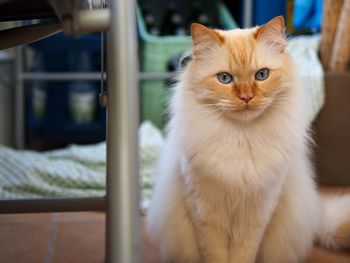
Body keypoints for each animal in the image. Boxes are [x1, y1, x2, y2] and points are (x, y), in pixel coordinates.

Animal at [146, 17, 350, 263]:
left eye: (261, 75)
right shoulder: (205, 212)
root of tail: (316, 211)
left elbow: (244, 253)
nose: (246, 97)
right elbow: (214, 254)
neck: (242, 138)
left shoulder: (258, 212)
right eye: (225, 78)